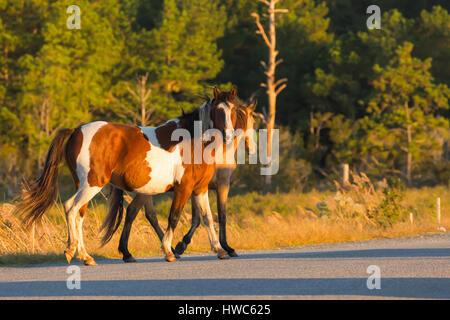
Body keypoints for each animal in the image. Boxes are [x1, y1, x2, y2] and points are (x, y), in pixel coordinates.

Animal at [15, 86, 239, 264]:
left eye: (234, 110)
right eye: (218, 110)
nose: (228, 136)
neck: (192, 140)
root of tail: (76, 131)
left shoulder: (200, 188)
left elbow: (208, 218)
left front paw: (220, 250)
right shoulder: (183, 189)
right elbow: (173, 217)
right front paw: (169, 251)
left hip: (84, 185)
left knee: (78, 213)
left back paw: (85, 256)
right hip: (92, 184)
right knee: (71, 208)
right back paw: (72, 250)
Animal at [102, 100, 256, 262]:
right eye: (253, 121)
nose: (252, 148)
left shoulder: (199, 188)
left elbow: (201, 216)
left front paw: (184, 245)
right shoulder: (220, 185)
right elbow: (218, 216)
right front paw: (225, 247)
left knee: (143, 213)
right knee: (137, 212)